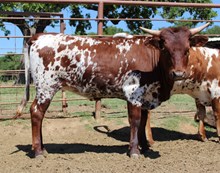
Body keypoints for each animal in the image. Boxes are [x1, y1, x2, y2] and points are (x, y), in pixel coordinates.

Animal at [16, 23, 209, 158]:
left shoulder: (146, 96)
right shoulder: (133, 93)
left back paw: (42, 148)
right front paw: (134, 151)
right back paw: (38, 151)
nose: (178, 73)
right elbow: (135, 121)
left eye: (187, 49)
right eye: (165, 48)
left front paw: (145, 146)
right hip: (46, 87)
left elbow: (144, 120)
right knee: (36, 113)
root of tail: (39, 36)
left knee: (39, 115)